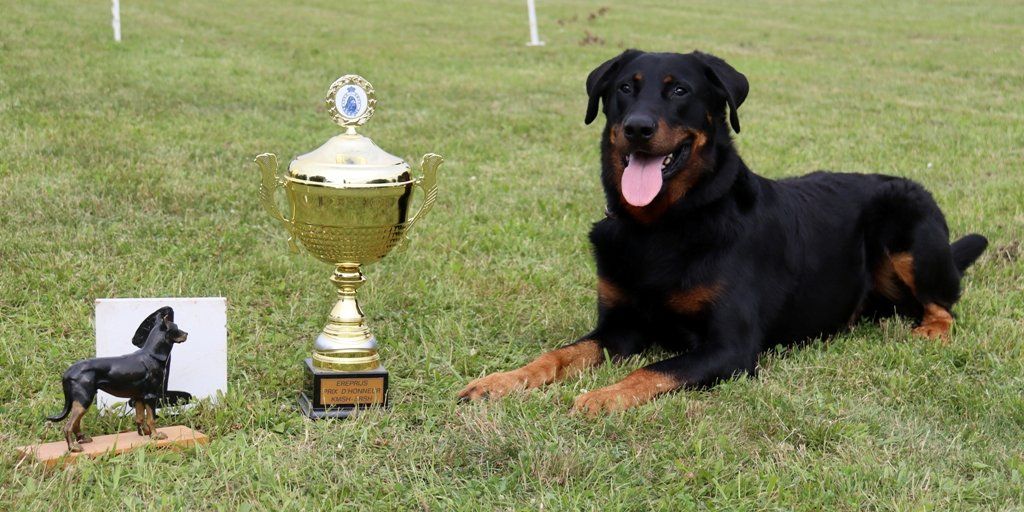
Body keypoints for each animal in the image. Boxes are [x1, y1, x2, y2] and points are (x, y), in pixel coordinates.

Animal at [47, 305, 187, 450]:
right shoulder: (150, 396)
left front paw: (144, 433)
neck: (152, 355)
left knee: (75, 423)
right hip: (83, 399)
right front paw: (155, 436)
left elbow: (140, 418)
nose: (187, 334)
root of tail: (69, 371)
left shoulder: (139, 397)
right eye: (176, 328)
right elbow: (151, 419)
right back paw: (73, 448)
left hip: (81, 401)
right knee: (68, 425)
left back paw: (82, 439)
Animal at [460, 49, 987, 413]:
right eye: (624, 89)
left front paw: (602, 397)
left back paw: (929, 332)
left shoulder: (729, 348)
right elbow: (560, 353)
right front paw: (501, 380)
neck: (662, 226)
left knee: (945, 306)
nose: (637, 128)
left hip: (908, 229)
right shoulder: (620, 326)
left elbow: (653, 369)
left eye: (679, 91)